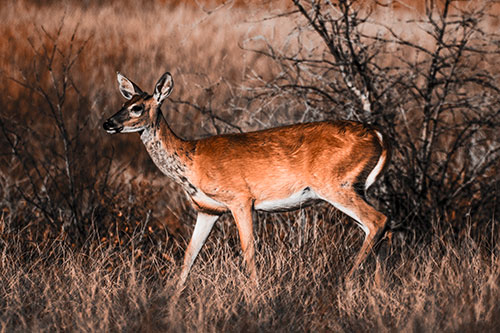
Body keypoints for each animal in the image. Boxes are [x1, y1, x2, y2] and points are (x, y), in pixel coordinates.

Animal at [101, 70, 390, 286]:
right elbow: (189, 255)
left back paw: (346, 281)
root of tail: (378, 136)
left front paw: (254, 295)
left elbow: (248, 250)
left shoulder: (241, 198)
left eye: (137, 107)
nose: (107, 123)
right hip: (354, 187)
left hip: (335, 184)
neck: (191, 161)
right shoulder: (208, 209)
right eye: (122, 103)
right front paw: (171, 302)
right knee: (376, 228)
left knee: (378, 221)